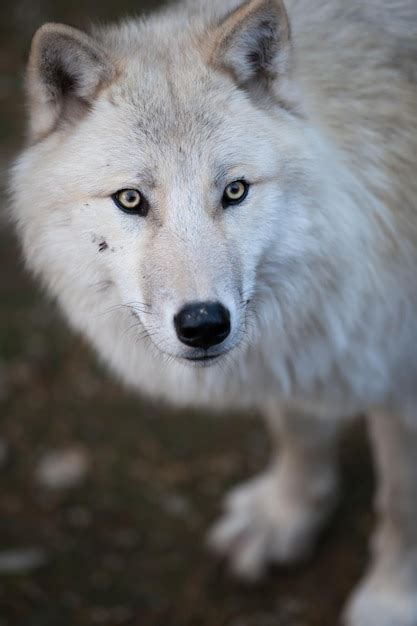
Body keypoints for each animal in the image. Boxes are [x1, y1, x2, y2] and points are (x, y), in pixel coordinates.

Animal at [9, 0, 417, 620]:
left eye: (234, 191)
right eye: (131, 199)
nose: (203, 325)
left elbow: (400, 503)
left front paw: (392, 601)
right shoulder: (303, 355)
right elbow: (297, 432)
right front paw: (283, 519)